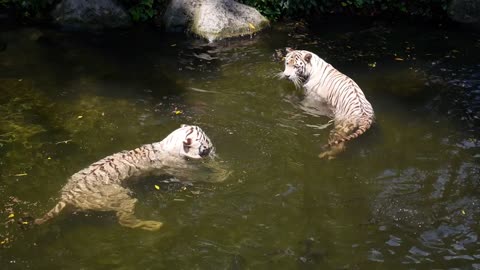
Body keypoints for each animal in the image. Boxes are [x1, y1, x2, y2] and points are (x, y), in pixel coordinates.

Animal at [35, 125, 223, 231]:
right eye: (207, 144)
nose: (214, 149)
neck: (168, 144)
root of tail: (68, 195)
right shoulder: (181, 168)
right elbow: (202, 174)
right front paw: (222, 174)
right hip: (120, 198)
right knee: (125, 220)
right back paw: (151, 225)